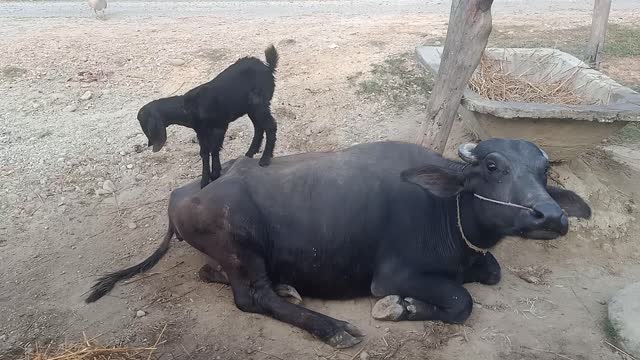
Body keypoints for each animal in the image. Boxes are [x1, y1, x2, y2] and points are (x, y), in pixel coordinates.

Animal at [85, 139, 592, 348]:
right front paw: (399, 308)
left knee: (217, 275)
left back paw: (286, 287)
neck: (449, 214)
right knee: (251, 297)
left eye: (544, 170)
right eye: (491, 166)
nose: (550, 216)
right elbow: (461, 301)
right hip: (241, 244)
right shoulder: (394, 274)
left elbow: (493, 273)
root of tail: (183, 193)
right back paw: (332, 328)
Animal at [139, 45, 278, 188]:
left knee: (270, 126)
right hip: (251, 108)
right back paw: (250, 153)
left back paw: (265, 158)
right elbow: (205, 152)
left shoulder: (220, 126)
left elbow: (214, 149)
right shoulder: (201, 132)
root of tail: (268, 68)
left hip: (259, 104)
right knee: (259, 127)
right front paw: (205, 180)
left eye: (144, 124)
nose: (150, 144)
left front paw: (215, 174)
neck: (188, 107)